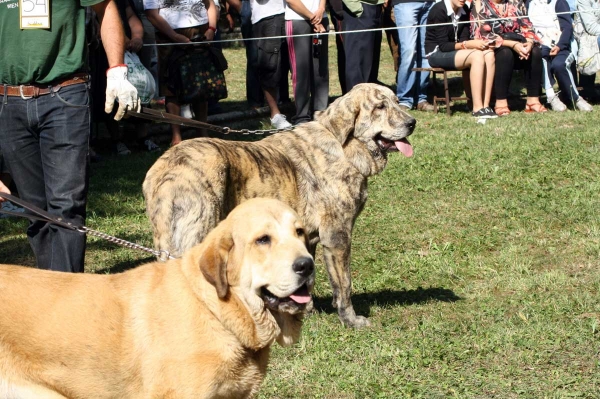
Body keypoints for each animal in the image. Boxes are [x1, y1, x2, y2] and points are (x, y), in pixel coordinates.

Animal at [143, 83, 414, 328]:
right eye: (379, 107)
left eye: (395, 101)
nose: (412, 123)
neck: (344, 145)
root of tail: (163, 174)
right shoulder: (337, 236)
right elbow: (344, 284)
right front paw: (351, 320)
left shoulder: (306, 237)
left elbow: (307, 274)